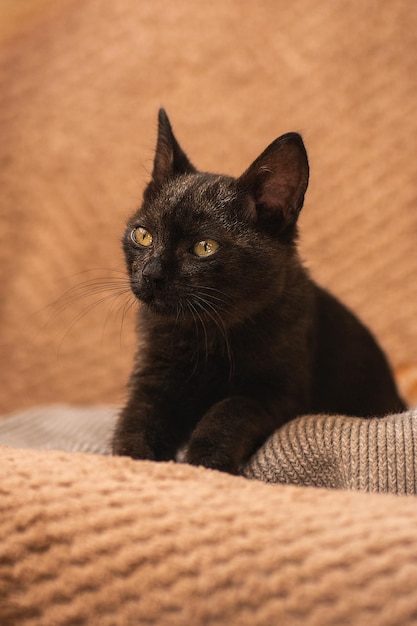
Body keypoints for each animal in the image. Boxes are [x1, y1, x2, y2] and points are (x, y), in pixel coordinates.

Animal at [112, 109, 404, 472]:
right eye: (143, 235)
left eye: (204, 247)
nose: (151, 274)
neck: (206, 333)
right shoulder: (152, 380)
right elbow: (135, 419)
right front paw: (131, 463)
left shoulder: (277, 393)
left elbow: (227, 411)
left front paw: (205, 462)